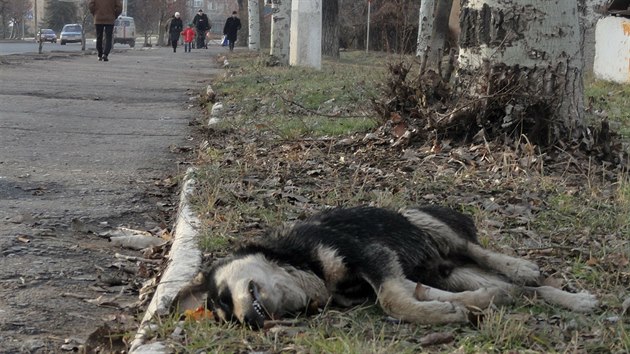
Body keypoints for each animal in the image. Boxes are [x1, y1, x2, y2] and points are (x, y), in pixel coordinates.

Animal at [195, 206, 600, 328]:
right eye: (227, 318)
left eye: (224, 297)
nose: (249, 321)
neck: (302, 266)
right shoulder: (398, 275)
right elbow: (419, 296)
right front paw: (460, 307)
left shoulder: (372, 256)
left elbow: (390, 300)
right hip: (452, 272)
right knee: (525, 290)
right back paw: (575, 301)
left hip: (425, 221)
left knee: (479, 249)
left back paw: (519, 266)